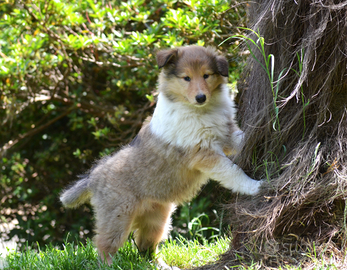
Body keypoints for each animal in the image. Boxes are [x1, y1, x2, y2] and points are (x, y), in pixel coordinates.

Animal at [60, 45, 260, 264]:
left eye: (206, 75)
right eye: (186, 78)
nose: (201, 97)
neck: (200, 110)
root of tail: (93, 176)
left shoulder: (227, 136)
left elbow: (242, 140)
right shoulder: (204, 153)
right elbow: (232, 171)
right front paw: (255, 186)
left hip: (157, 219)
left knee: (145, 247)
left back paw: (162, 266)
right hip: (117, 215)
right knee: (105, 244)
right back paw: (110, 265)